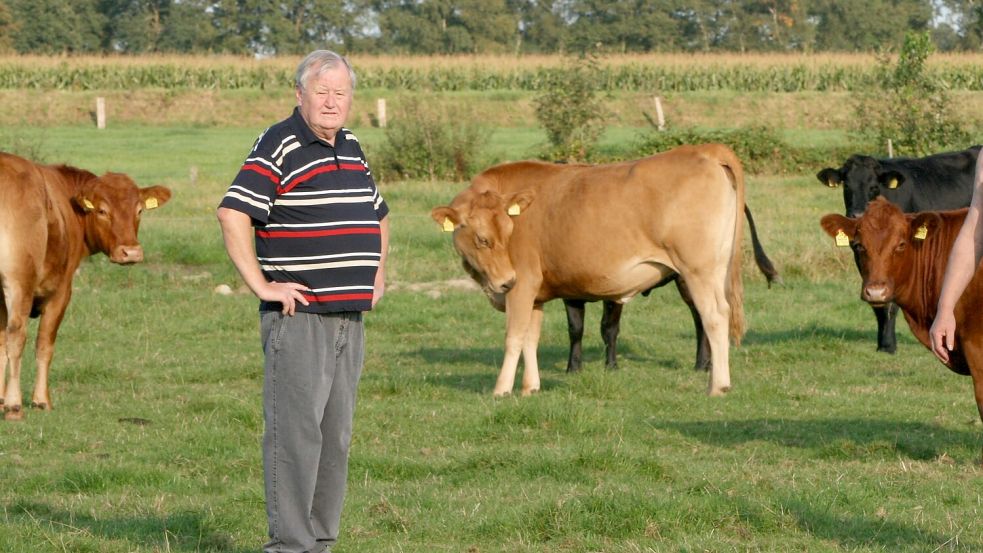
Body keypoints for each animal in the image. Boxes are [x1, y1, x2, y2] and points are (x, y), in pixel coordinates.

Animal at [0, 151, 171, 418]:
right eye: (102, 211)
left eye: (140, 210)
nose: (131, 252)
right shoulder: (60, 292)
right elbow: (44, 344)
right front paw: (41, 400)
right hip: (21, 285)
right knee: (17, 336)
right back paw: (14, 405)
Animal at [430, 143, 752, 396]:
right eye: (483, 239)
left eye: (509, 231)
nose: (506, 281)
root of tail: (705, 150)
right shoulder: (536, 293)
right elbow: (531, 338)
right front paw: (531, 387)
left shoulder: (523, 285)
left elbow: (515, 336)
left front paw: (501, 389)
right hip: (717, 269)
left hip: (697, 270)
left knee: (713, 317)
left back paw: (717, 385)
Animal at [816, 146, 983, 354]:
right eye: (846, 186)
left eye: (874, 187)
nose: (857, 215)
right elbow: (878, 303)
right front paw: (882, 344)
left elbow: (892, 302)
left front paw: (889, 344)